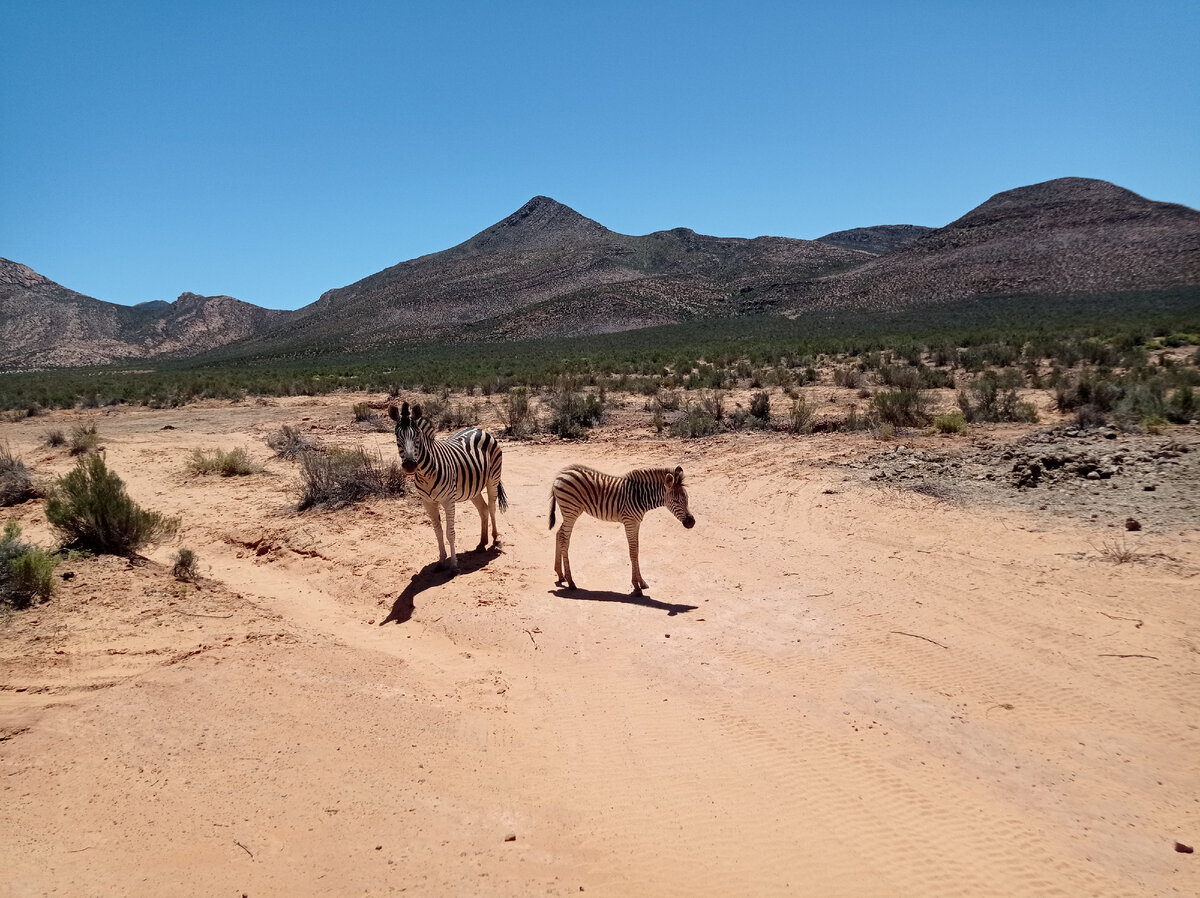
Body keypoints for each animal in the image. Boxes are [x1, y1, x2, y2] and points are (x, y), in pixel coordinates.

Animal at [391, 403, 508, 571]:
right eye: (397, 436)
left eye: (417, 436)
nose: (410, 465)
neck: (425, 474)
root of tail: (480, 429)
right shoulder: (428, 503)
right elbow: (438, 532)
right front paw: (441, 561)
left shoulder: (447, 500)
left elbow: (449, 533)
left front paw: (453, 565)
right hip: (473, 488)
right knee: (483, 509)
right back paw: (482, 543)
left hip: (493, 478)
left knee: (492, 507)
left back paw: (495, 540)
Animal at [549, 463, 700, 595]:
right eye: (675, 501)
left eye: (687, 498)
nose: (691, 522)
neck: (641, 497)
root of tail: (560, 474)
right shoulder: (629, 522)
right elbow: (632, 552)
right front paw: (637, 587)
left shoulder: (636, 523)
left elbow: (637, 550)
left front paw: (642, 582)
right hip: (571, 511)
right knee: (564, 539)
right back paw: (570, 581)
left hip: (571, 512)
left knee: (559, 533)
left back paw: (560, 575)